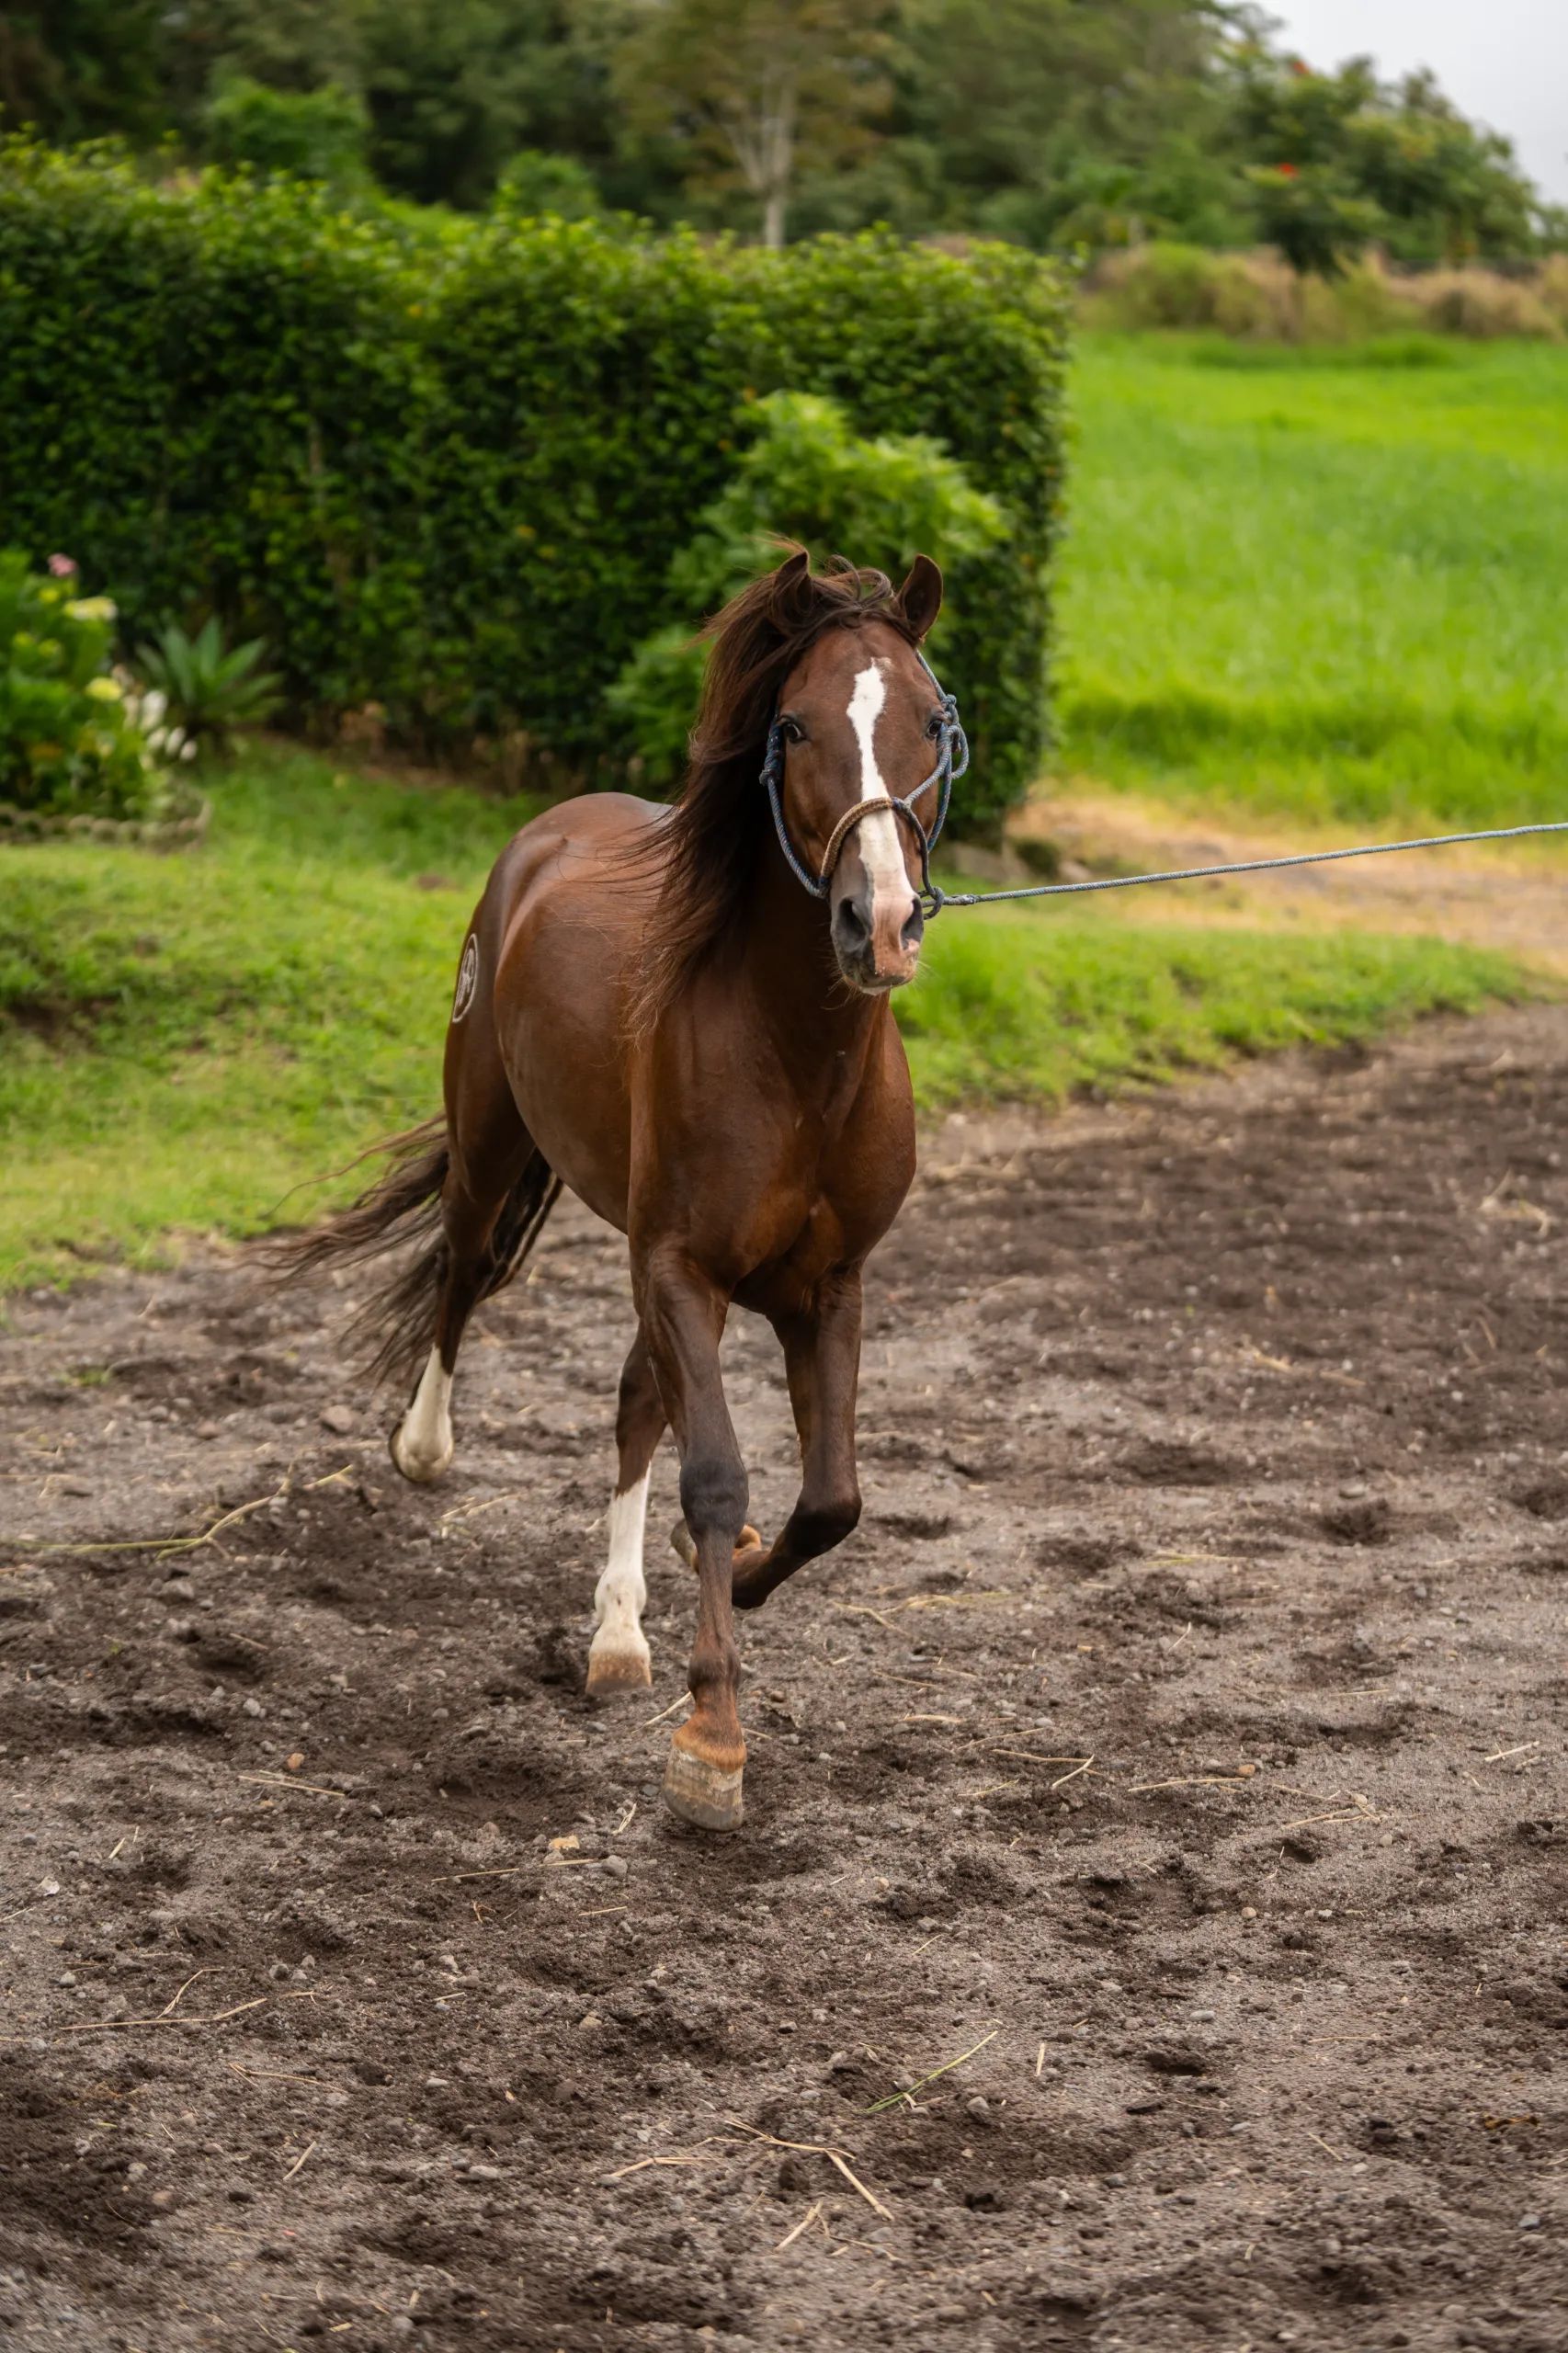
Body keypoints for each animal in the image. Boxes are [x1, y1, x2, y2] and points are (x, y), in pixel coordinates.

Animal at [272, 550, 967, 1830]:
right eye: (793, 724)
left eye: (930, 721)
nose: (879, 921)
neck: (794, 1055)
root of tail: (547, 834)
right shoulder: (681, 1265)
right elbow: (713, 1474)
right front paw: (710, 1740)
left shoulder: (824, 1283)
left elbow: (828, 1499)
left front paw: (723, 1588)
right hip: (496, 1149)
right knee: (463, 1273)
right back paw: (427, 1451)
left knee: (637, 1397)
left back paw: (615, 1633)